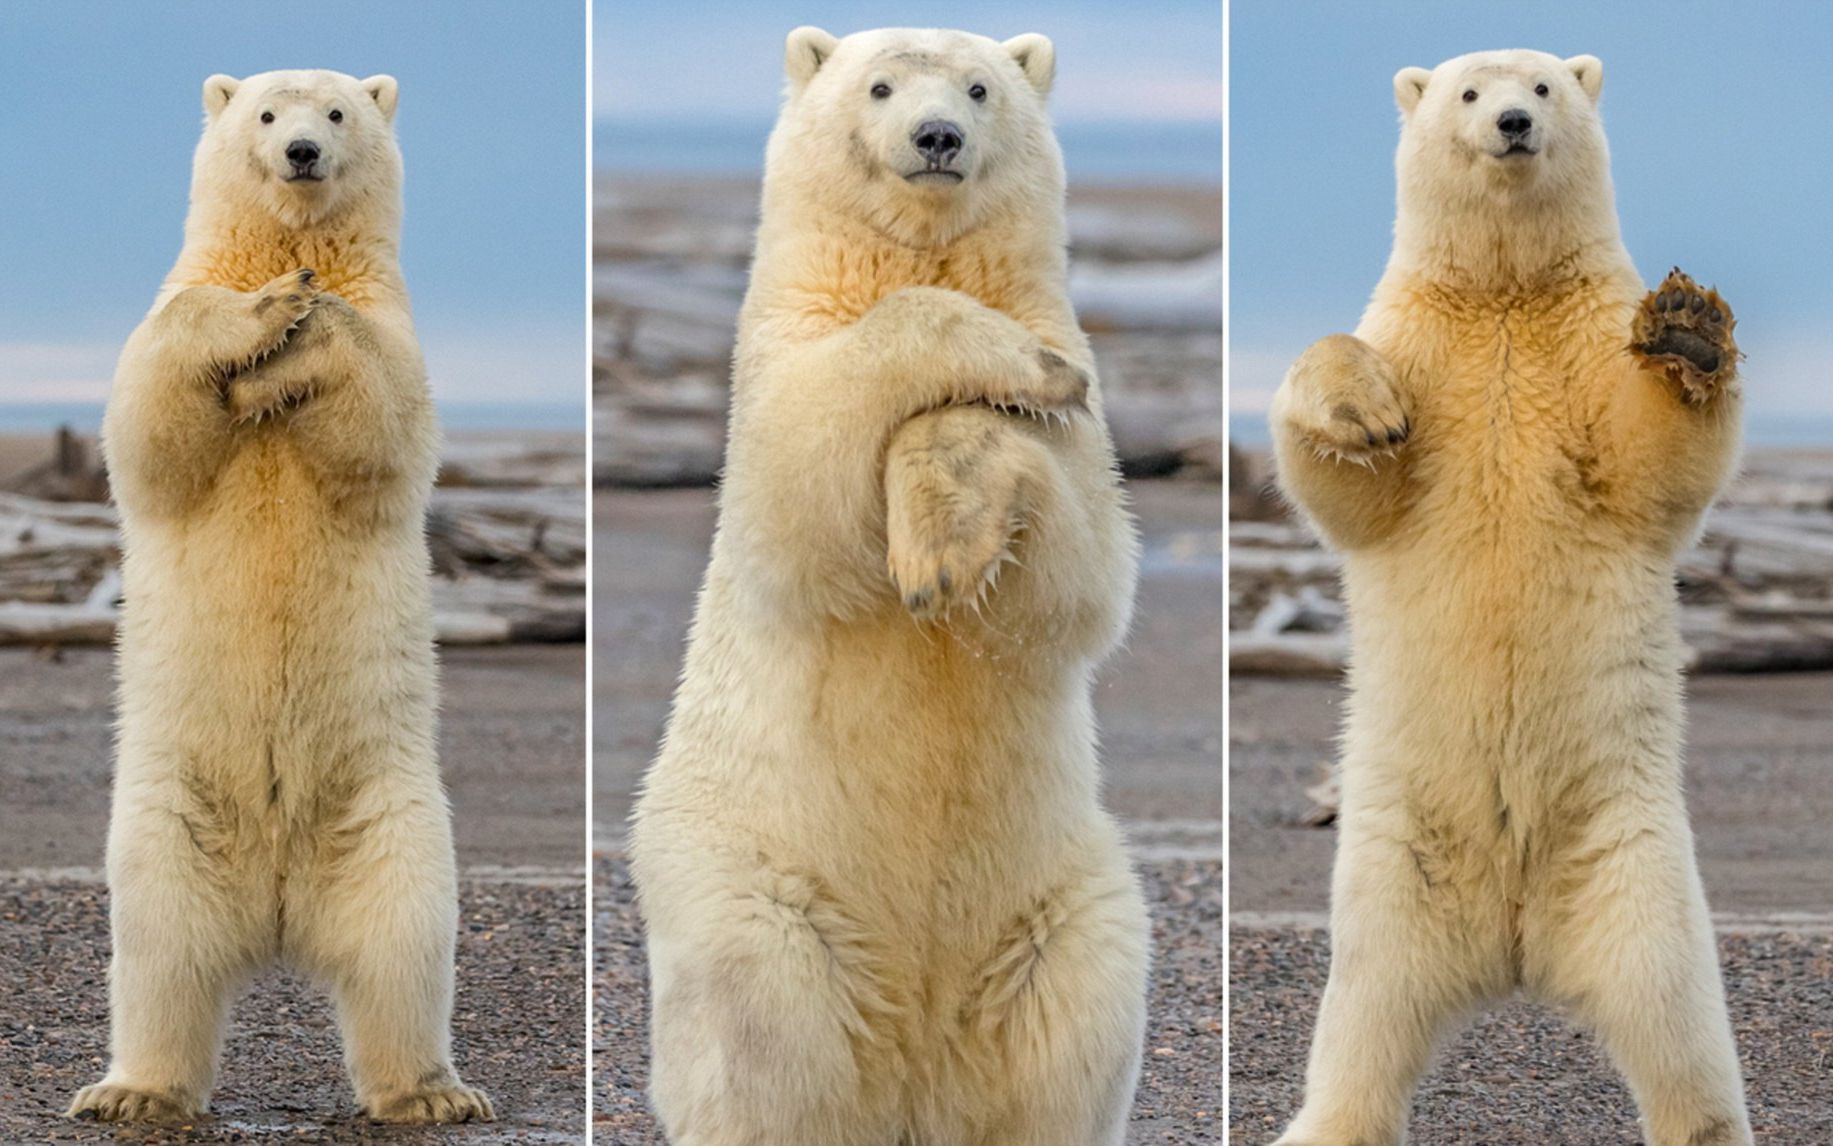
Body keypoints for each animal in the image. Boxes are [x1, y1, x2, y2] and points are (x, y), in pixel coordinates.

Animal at [66, 70, 492, 1125]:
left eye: (336, 113)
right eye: (265, 113)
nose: (301, 151)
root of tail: (279, 912)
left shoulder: (397, 331)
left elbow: (382, 415)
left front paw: (303, 323)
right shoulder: (175, 302)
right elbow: (151, 418)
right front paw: (269, 311)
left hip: (392, 815)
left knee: (402, 949)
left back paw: (431, 1093)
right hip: (168, 817)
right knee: (160, 954)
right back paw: (132, 1091)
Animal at [627, 26, 1149, 1146]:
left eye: (980, 87)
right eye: (877, 85)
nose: (937, 135)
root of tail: (916, 1073)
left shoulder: (1081, 434)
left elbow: (1079, 573)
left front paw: (945, 534)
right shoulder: (783, 353)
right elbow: (802, 475)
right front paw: (1008, 371)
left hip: (1059, 907)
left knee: (1066, 1037)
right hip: (754, 881)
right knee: (763, 1030)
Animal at [1268, 50, 1749, 1146]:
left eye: (1541, 84)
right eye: (1466, 92)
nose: (1515, 124)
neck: (1503, 294)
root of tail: (1517, 946)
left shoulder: (1585, 339)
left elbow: (1647, 463)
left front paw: (1691, 330)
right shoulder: (1419, 338)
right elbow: (1353, 488)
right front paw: (1358, 410)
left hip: (1631, 857)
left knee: (1673, 1013)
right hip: (1393, 871)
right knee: (1363, 1020)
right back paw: (1323, 1121)